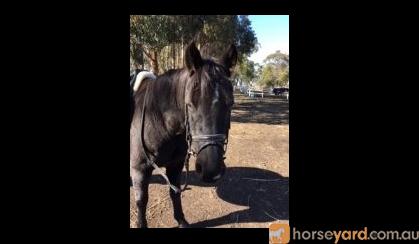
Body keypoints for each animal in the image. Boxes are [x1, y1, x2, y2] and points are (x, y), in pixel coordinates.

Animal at [130, 41, 238, 227]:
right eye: (189, 104)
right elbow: (141, 201)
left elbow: (175, 193)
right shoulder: (139, 169)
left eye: (230, 103)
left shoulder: (176, 165)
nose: (211, 170)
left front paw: (181, 220)